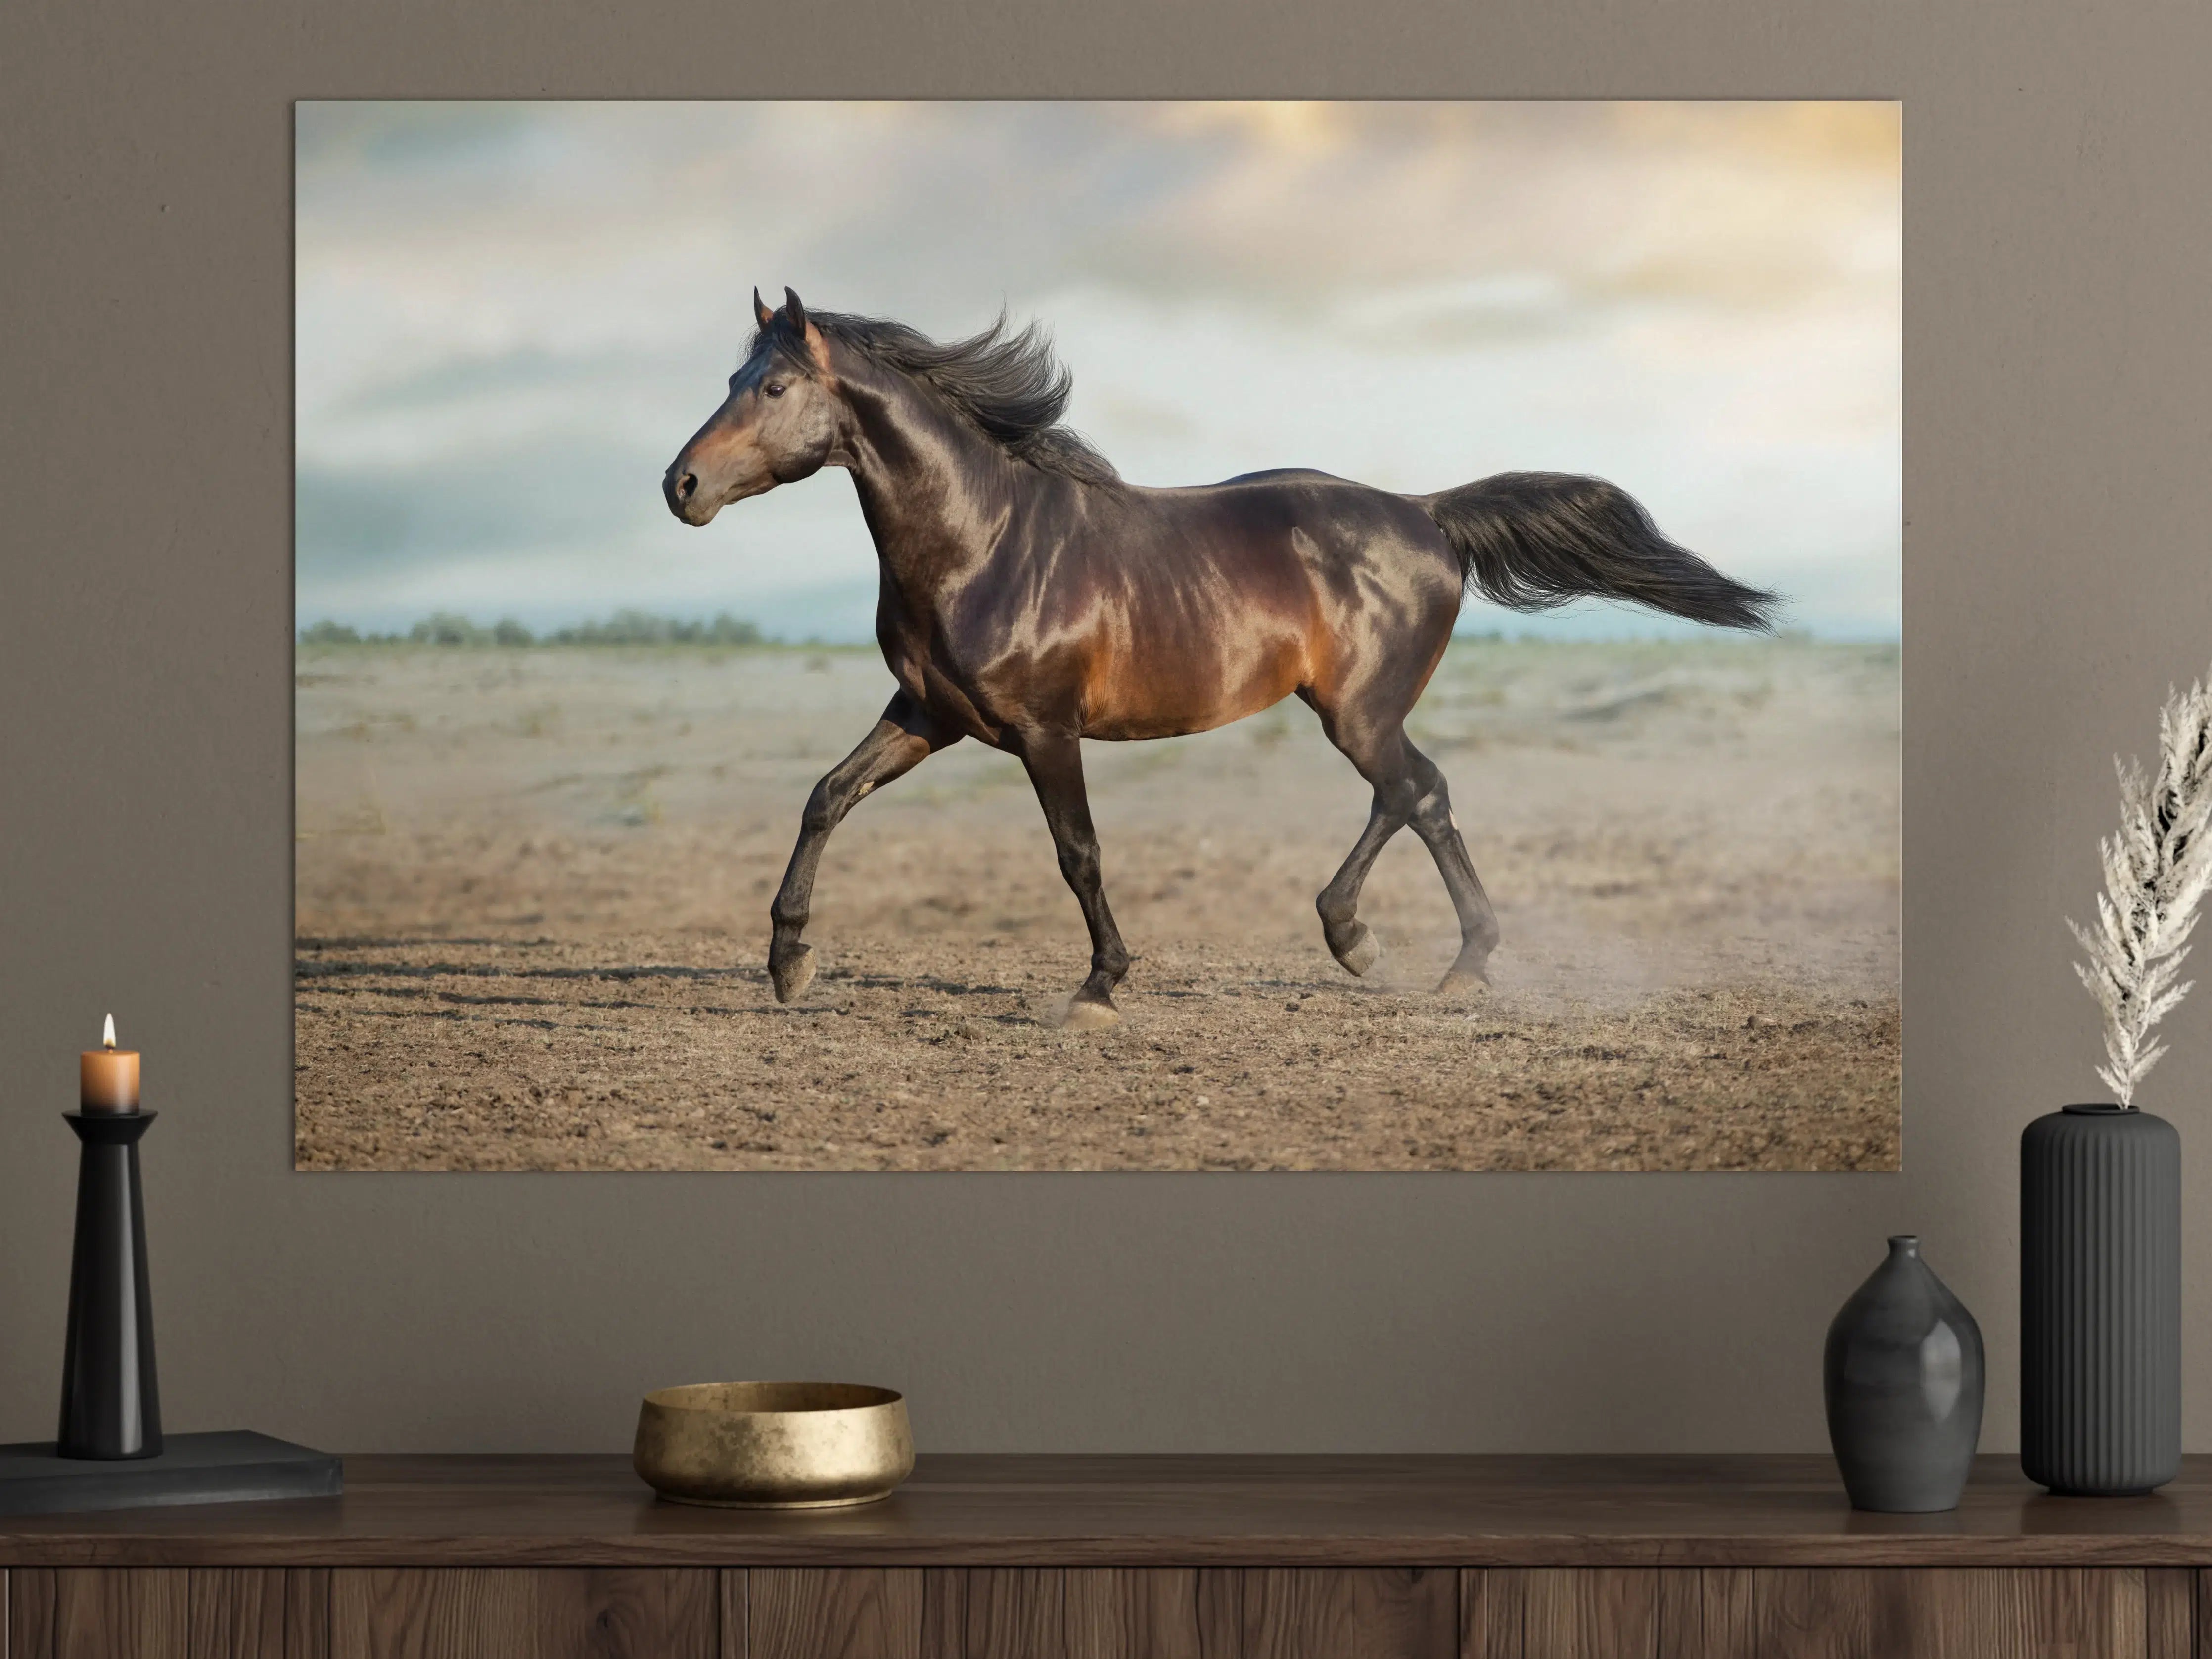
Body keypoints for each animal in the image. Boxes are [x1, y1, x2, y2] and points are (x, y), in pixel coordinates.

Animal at [665, 288, 1777, 1028]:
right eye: (729, 380)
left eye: (771, 385)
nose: (680, 486)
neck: (983, 542)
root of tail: (1424, 513)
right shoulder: (929, 715)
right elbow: (825, 797)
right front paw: (789, 962)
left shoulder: (1044, 731)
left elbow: (1078, 852)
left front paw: (1099, 987)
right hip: (1356, 710)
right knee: (1415, 795)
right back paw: (1400, 947)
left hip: (1356, 710)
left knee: (1416, 791)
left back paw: (1410, 951)